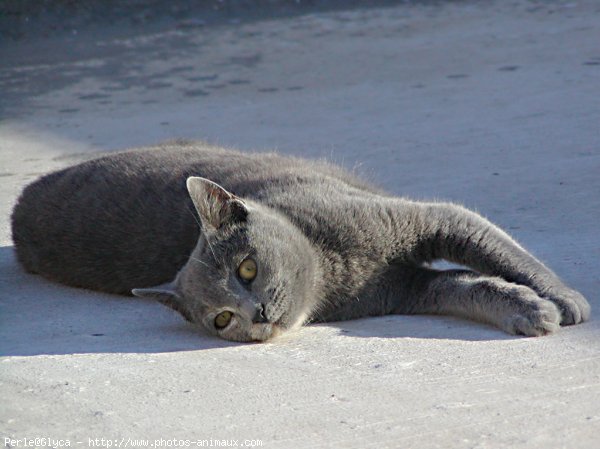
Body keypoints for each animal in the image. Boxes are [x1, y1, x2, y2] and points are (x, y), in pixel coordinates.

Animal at [10, 142, 592, 342]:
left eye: (247, 268)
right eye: (221, 319)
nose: (258, 315)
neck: (340, 268)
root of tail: (17, 210)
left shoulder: (429, 220)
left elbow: (498, 250)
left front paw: (563, 299)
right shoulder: (408, 290)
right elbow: (470, 286)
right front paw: (529, 310)